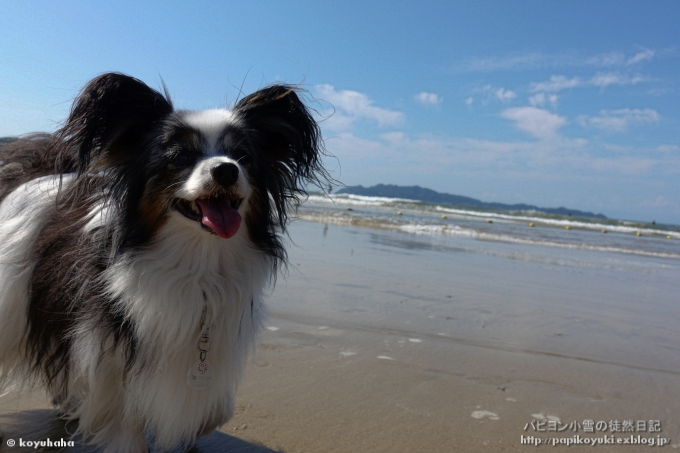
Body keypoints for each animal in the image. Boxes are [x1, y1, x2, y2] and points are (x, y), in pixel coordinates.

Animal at [0, 72, 330, 450]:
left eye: (243, 156)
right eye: (181, 156)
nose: (226, 170)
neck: (198, 264)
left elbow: (216, 408)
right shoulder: (112, 351)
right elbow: (125, 418)